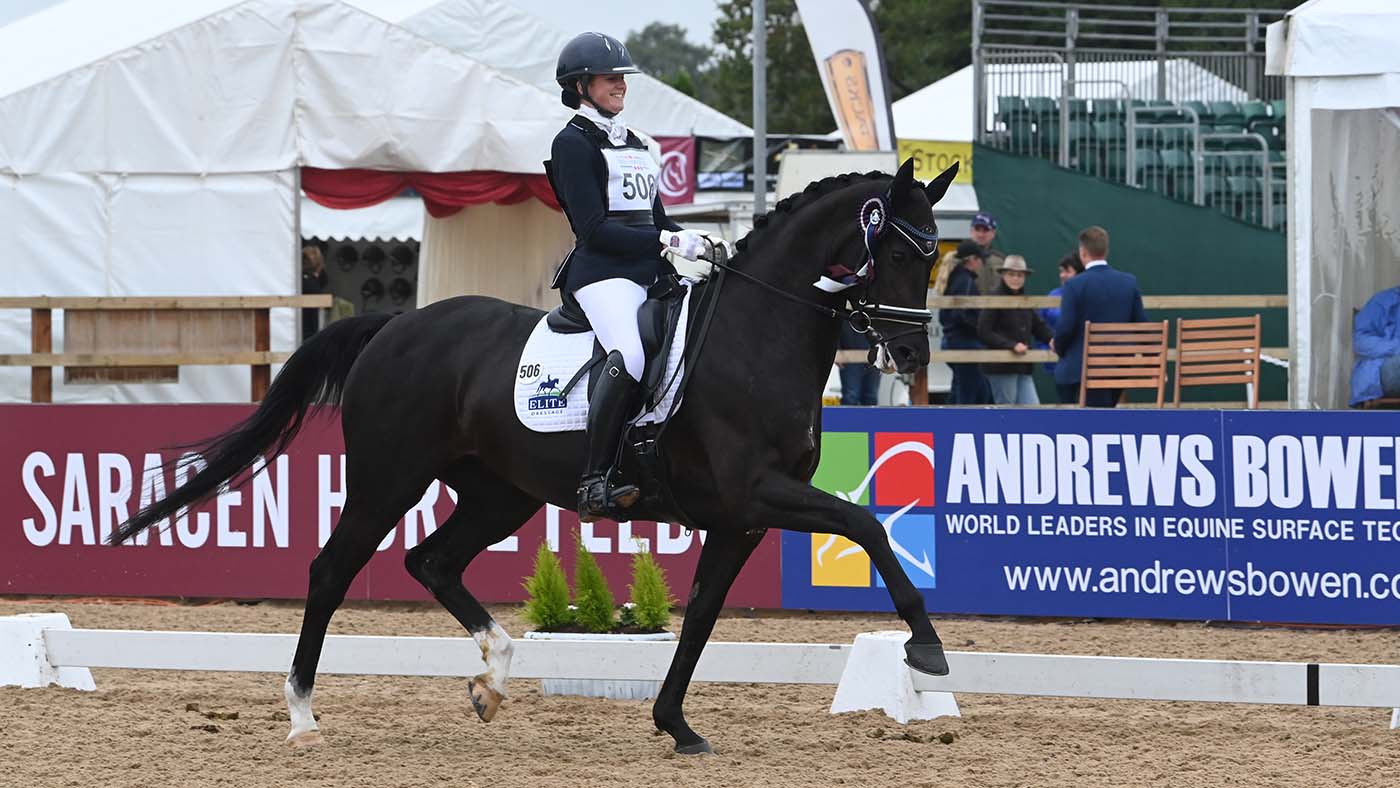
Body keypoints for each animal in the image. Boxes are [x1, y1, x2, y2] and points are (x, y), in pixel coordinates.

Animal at [112, 157, 963, 755]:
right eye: (894, 254)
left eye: (933, 259)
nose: (911, 355)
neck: (756, 334)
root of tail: (394, 326)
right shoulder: (758, 493)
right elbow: (868, 525)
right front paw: (925, 649)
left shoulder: (737, 519)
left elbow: (700, 618)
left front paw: (675, 724)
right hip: (389, 478)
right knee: (331, 570)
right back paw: (302, 715)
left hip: (501, 493)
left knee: (432, 560)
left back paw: (492, 676)